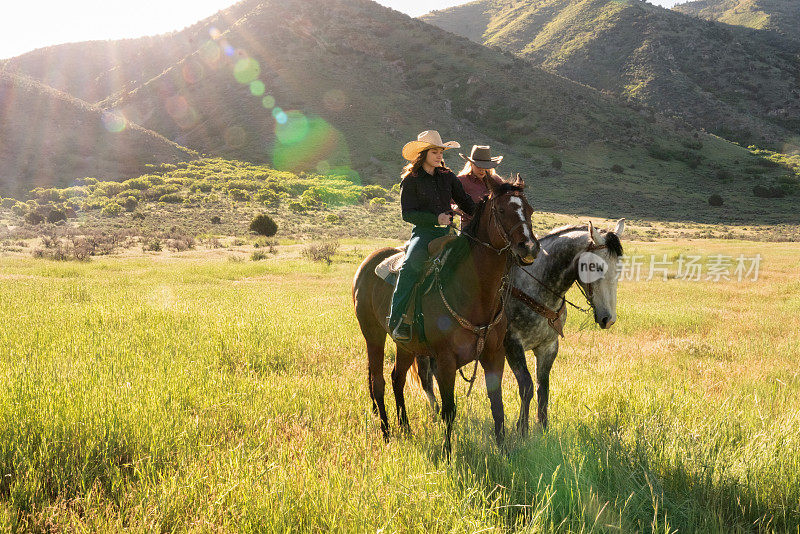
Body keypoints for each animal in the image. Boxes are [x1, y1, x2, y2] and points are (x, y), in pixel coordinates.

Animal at [350, 177, 536, 456]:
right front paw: (448, 453)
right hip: (373, 335)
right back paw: (386, 433)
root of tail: (368, 263)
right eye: (502, 210)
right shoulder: (445, 361)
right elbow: (449, 410)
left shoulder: (494, 355)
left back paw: (406, 429)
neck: (474, 293)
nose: (529, 247)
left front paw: (503, 449)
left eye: (530, 210)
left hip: (405, 345)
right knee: (378, 382)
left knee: (397, 378)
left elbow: (498, 404)